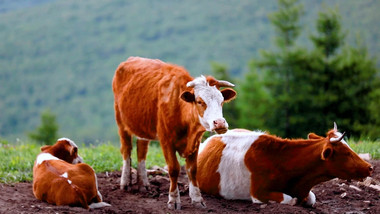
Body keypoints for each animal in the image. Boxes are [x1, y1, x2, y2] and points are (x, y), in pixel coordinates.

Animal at [111, 56, 236, 209]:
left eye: (222, 101)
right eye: (200, 101)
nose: (220, 123)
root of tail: (130, 59)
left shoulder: (195, 141)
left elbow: (192, 169)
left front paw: (197, 199)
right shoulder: (166, 140)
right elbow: (174, 169)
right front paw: (173, 200)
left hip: (142, 125)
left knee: (141, 150)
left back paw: (144, 184)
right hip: (121, 121)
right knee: (126, 149)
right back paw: (125, 182)